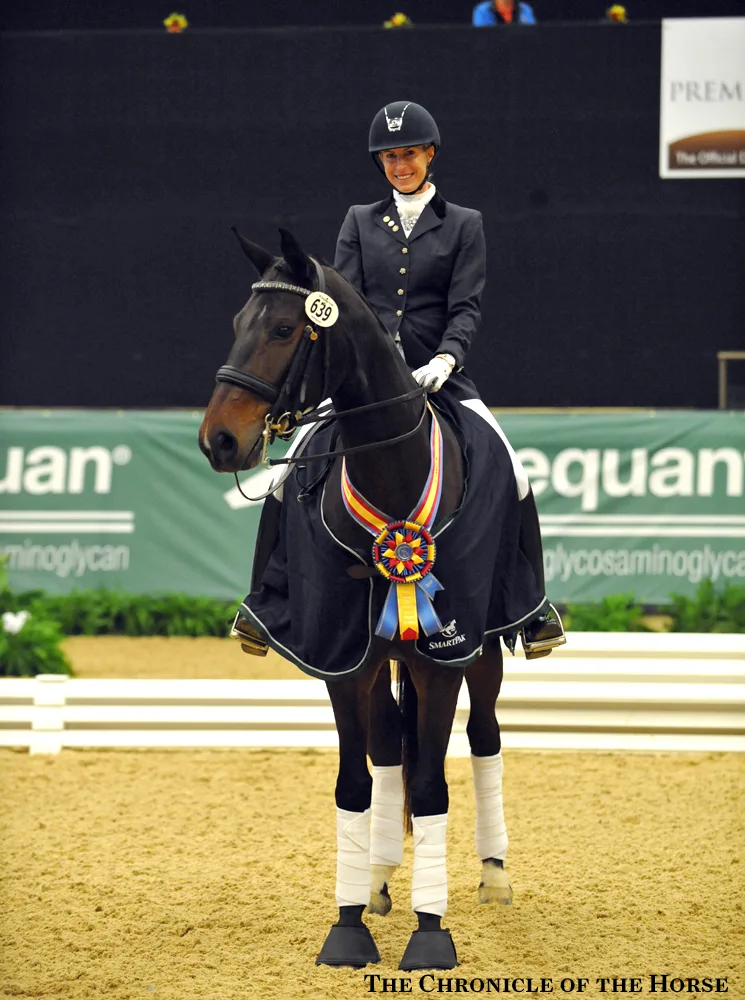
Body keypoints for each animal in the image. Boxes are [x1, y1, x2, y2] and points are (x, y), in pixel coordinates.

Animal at [198, 229, 536, 968]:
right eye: (236, 323)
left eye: (284, 328)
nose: (219, 441)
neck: (390, 473)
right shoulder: (341, 656)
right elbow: (356, 780)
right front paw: (349, 924)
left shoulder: (442, 655)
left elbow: (433, 786)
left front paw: (431, 936)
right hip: (380, 656)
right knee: (387, 749)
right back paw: (378, 877)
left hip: (483, 650)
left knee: (484, 736)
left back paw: (494, 875)